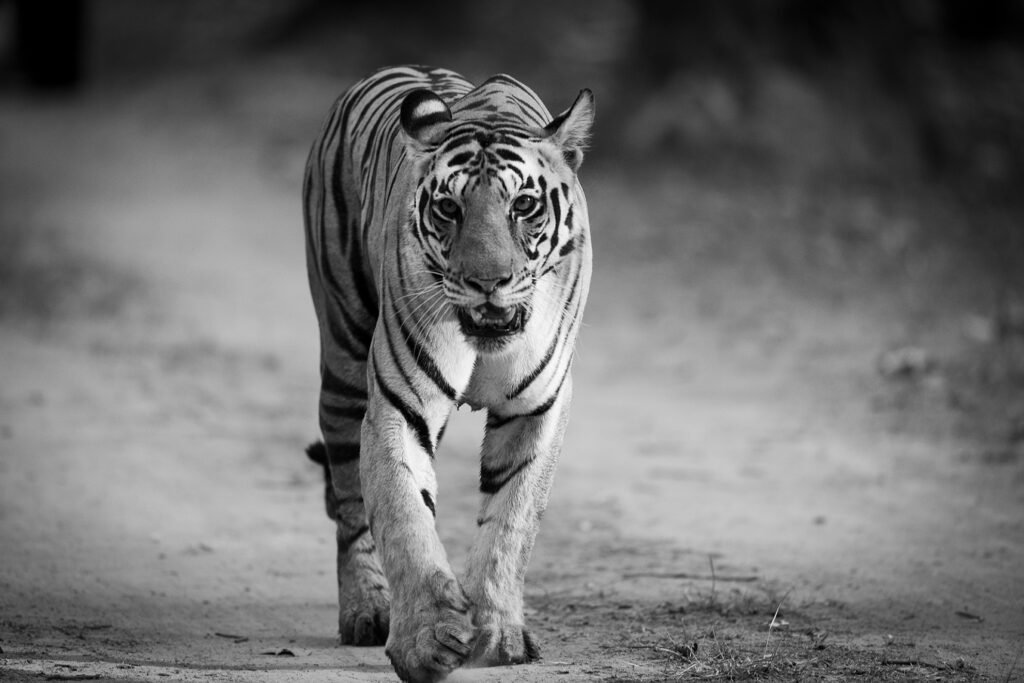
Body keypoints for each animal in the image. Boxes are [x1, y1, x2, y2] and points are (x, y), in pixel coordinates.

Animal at [302, 64, 593, 683]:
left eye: (523, 205)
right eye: (449, 210)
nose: (489, 281)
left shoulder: (538, 407)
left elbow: (511, 522)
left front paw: (497, 635)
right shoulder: (398, 403)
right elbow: (403, 515)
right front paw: (426, 641)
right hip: (341, 361)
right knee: (349, 505)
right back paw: (366, 610)